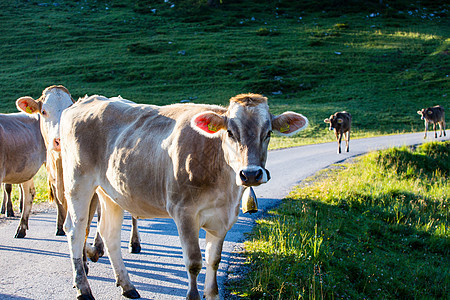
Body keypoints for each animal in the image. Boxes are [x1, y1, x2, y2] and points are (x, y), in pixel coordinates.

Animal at [16, 85, 141, 256]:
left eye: (69, 109)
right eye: (43, 111)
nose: (59, 139)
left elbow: (86, 225)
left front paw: (85, 257)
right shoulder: (59, 188)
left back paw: (134, 243)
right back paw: (99, 245)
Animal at [58, 92, 308, 298]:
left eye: (268, 133)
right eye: (230, 132)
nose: (251, 174)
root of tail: (85, 101)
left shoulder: (223, 217)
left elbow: (214, 260)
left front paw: (212, 295)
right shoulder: (184, 212)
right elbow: (194, 261)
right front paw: (194, 296)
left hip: (112, 192)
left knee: (109, 234)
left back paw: (128, 286)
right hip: (78, 183)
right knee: (76, 230)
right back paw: (83, 289)